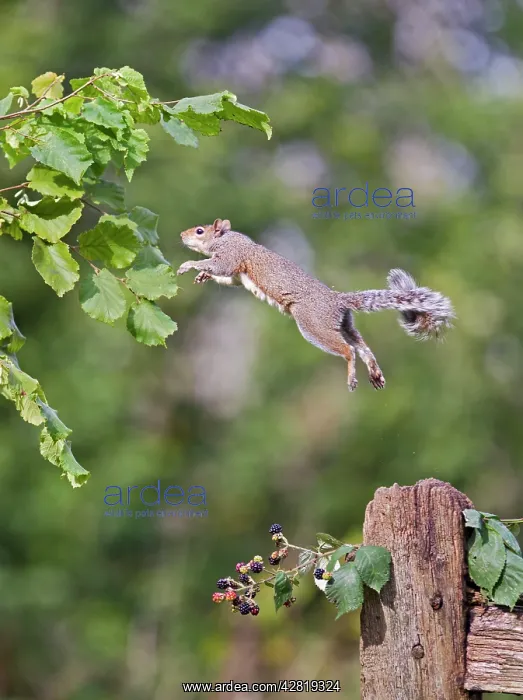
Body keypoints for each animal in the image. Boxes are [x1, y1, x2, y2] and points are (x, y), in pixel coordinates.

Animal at [177, 218, 455, 391]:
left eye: (200, 231)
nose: (181, 235)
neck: (226, 238)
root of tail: (337, 301)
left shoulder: (232, 256)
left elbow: (219, 267)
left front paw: (190, 265)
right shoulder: (236, 273)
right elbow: (226, 277)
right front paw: (203, 275)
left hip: (313, 325)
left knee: (348, 350)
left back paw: (352, 374)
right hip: (343, 324)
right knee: (362, 346)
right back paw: (374, 371)